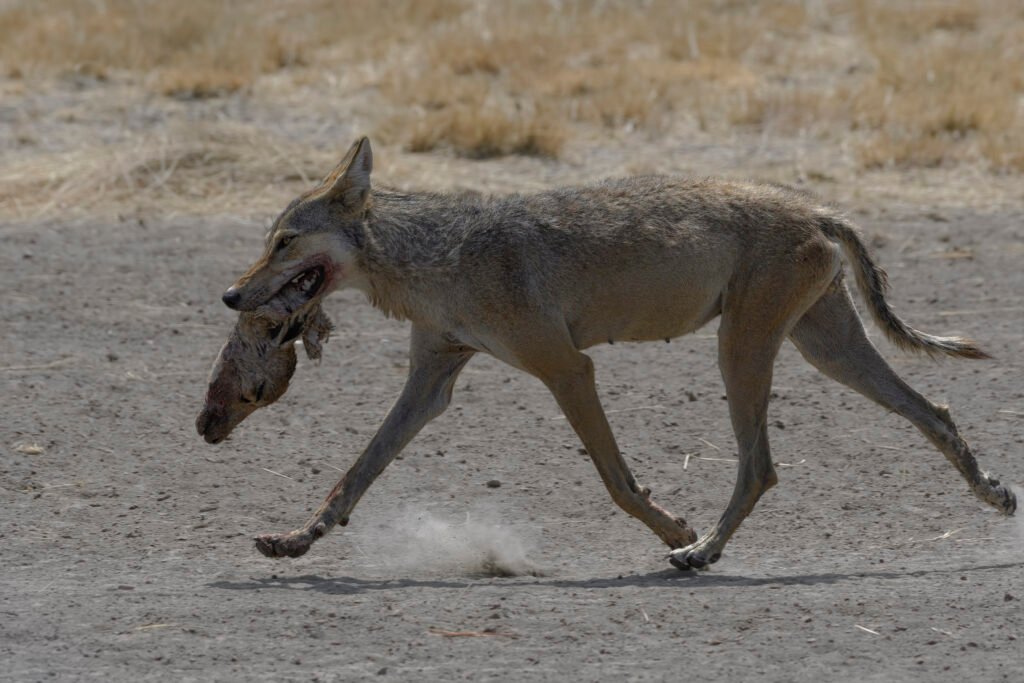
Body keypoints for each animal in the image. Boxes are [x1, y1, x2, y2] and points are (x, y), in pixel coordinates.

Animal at [199, 136, 1015, 570]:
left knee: (762, 466)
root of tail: (818, 207)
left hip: (743, 351)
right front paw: (295, 540)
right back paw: (995, 493)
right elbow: (351, 477)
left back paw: (702, 552)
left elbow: (618, 483)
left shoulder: (567, 369)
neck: (436, 257)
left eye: (284, 242)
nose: (232, 297)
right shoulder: (431, 383)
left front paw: (676, 530)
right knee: (935, 410)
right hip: (825, 351)